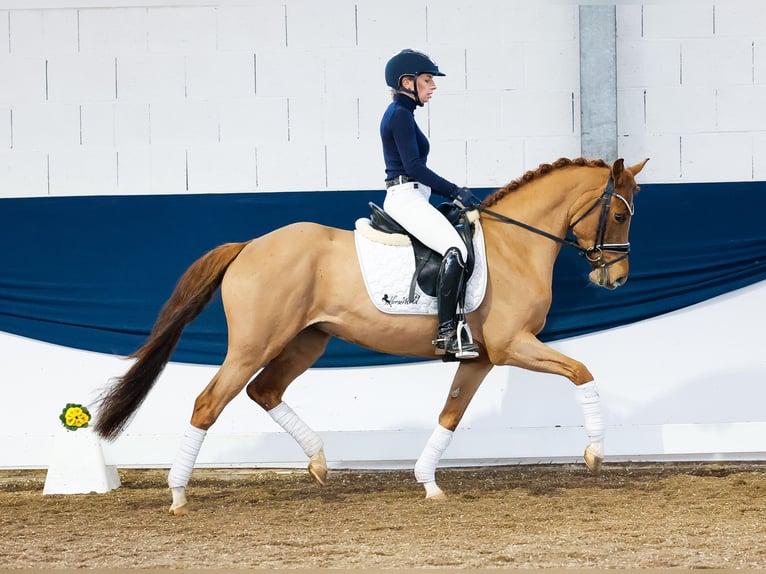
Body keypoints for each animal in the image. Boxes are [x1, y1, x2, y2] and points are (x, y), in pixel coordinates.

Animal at [94, 155, 648, 516]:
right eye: (620, 214)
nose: (616, 279)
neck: (516, 244)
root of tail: (249, 245)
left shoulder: (480, 357)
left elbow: (450, 414)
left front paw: (428, 483)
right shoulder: (514, 346)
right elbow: (582, 371)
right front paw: (596, 453)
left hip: (306, 340)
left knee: (264, 390)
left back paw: (319, 464)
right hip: (255, 343)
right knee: (209, 402)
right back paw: (178, 495)